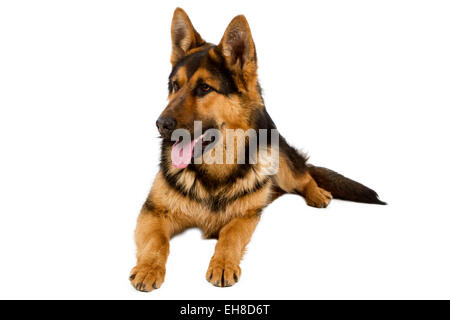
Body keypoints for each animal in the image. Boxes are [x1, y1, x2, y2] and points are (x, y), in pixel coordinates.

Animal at [129, 8, 384, 292]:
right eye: (175, 85)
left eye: (205, 88)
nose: (161, 124)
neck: (214, 171)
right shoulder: (152, 212)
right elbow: (157, 242)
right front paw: (148, 268)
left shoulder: (246, 216)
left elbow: (229, 236)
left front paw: (223, 264)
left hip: (282, 161)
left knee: (305, 175)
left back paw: (316, 193)